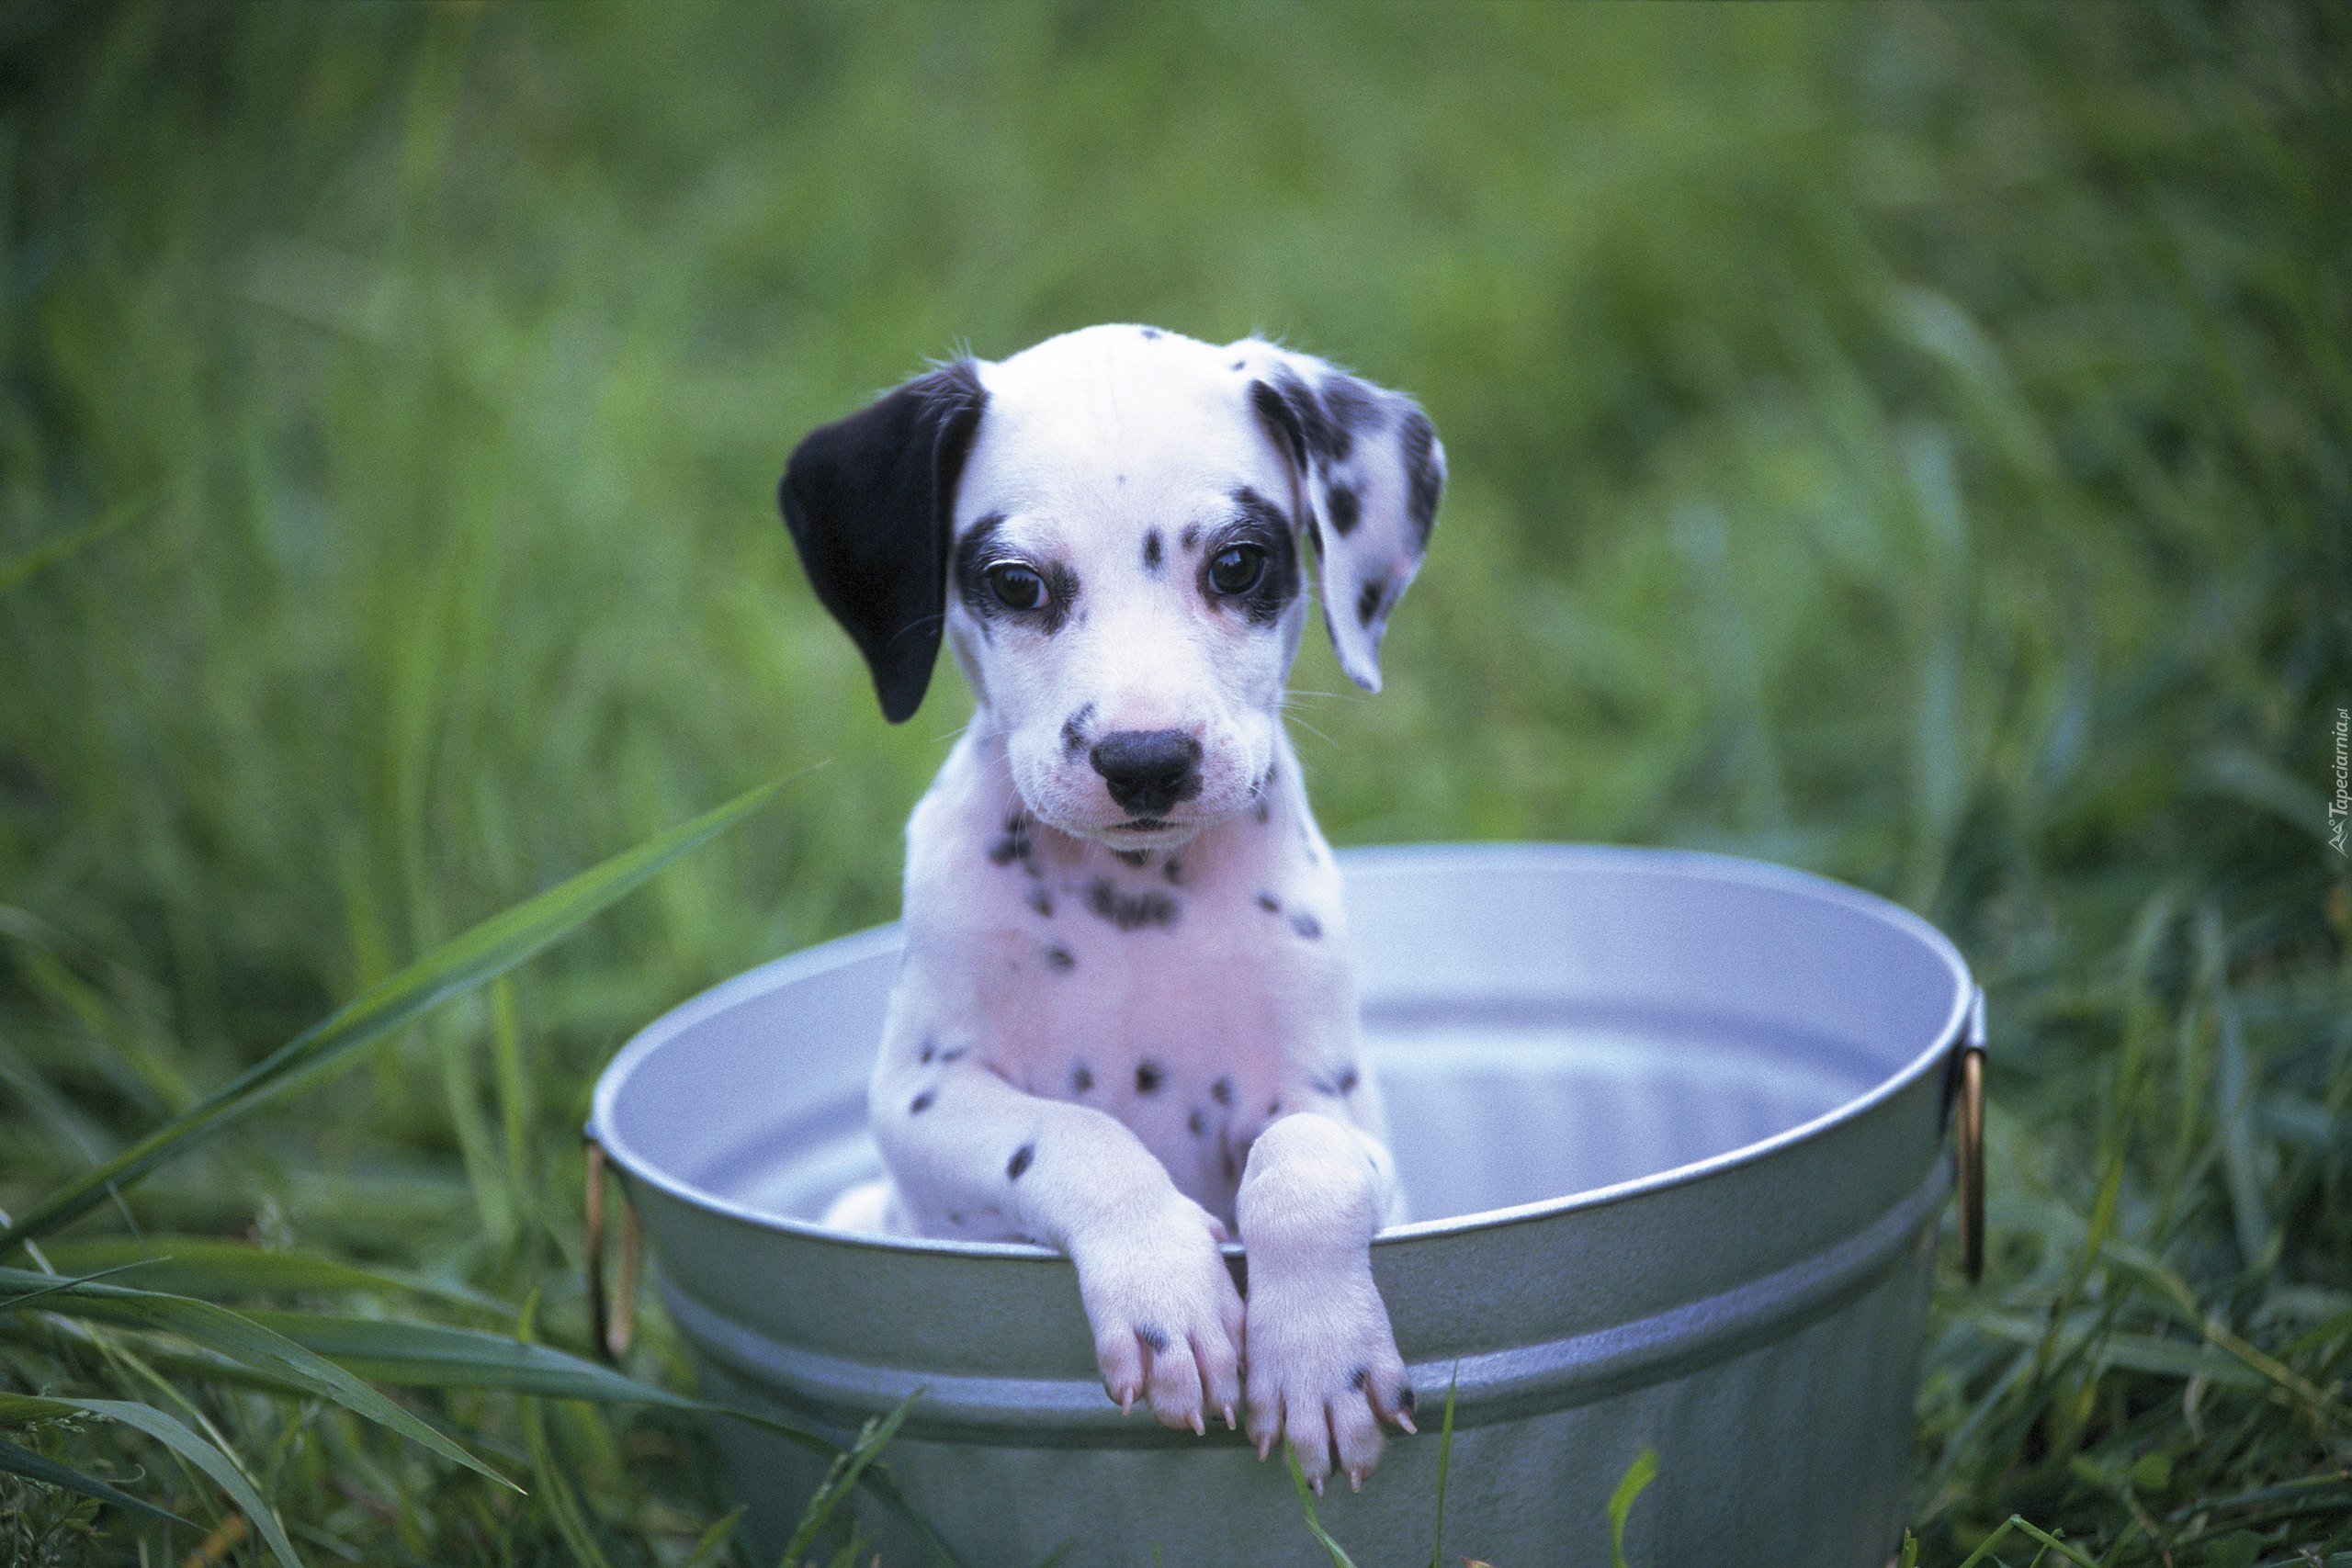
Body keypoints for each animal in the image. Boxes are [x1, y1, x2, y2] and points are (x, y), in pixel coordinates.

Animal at [780, 321, 1439, 1495]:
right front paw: (1165, 1292)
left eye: (1237, 565)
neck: (1136, 907)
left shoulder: (1339, 1111)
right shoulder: (920, 1104)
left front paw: (1319, 1358)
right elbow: (1072, 1133)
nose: (1145, 761)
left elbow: (1301, 1166)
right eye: (1015, 584)